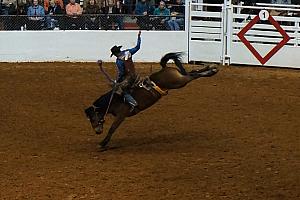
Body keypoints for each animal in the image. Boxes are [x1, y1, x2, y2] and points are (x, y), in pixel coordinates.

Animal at [84, 52, 218, 149]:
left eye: (93, 118)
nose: (97, 132)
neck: (114, 100)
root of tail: (164, 69)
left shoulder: (121, 115)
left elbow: (112, 128)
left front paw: (102, 144)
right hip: (180, 79)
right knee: (193, 72)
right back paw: (210, 67)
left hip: (179, 82)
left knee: (193, 75)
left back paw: (212, 70)